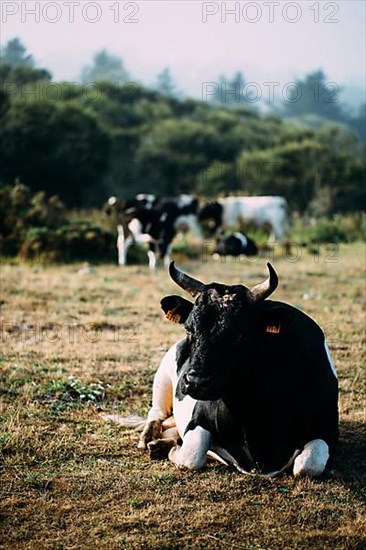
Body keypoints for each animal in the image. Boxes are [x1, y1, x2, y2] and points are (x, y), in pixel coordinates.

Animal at [109, 264, 340, 478]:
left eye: (238, 334)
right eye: (189, 330)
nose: (196, 382)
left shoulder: (328, 429)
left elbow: (307, 465)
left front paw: (169, 446)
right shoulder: (198, 419)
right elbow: (192, 455)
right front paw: (175, 450)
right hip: (163, 377)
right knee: (155, 414)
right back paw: (149, 438)